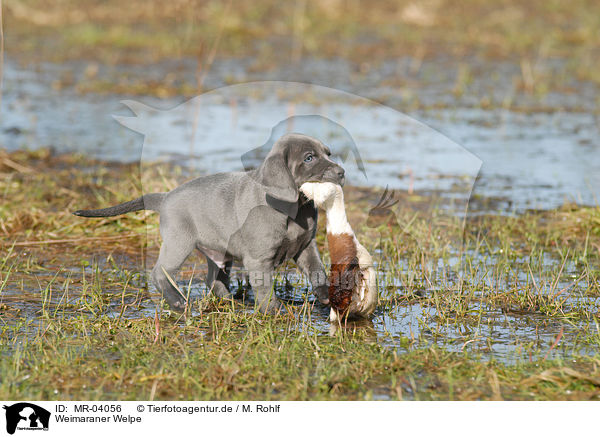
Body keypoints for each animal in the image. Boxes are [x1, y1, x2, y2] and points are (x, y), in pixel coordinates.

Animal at [74, 134, 344, 314]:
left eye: (328, 154)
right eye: (309, 158)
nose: (342, 172)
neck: (293, 208)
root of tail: (165, 197)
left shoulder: (305, 246)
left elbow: (317, 270)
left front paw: (325, 294)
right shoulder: (259, 259)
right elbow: (265, 287)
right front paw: (274, 310)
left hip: (219, 251)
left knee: (212, 279)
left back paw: (229, 301)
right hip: (179, 242)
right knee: (159, 272)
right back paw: (177, 302)